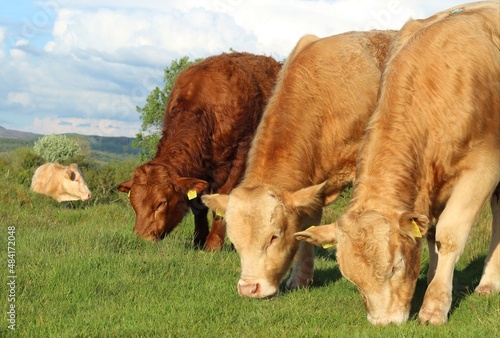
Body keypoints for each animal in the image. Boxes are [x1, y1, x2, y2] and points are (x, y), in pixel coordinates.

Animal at [117, 50, 282, 251]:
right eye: (133, 202)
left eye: (162, 202)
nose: (142, 238)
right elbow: (198, 205)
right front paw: (199, 240)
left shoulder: (238, 161)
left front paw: (213, 244)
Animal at [296, 0, 500, 328]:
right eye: (353, 281)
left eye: (396, 266)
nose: (385, 323)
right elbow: (430, 233)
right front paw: (432, 278)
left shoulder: (483, 168)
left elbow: (449, 235)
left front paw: (434, 305)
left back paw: (489, 282)